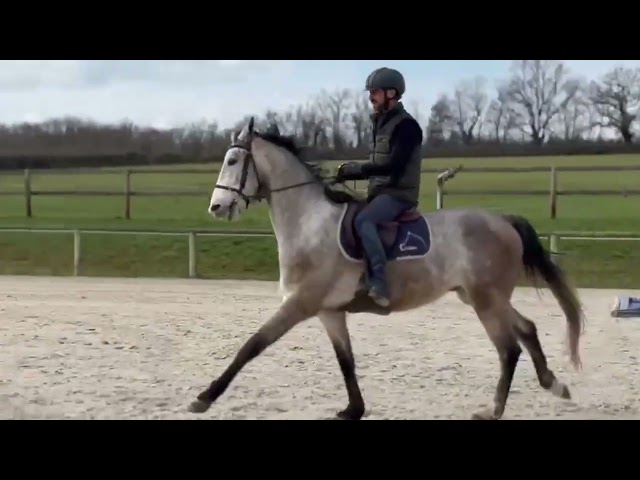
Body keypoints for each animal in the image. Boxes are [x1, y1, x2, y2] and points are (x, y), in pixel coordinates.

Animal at [188, 116, 585, 420]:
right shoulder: (330, 312)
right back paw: (554, 384)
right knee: (527, 329)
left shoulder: (300, 304)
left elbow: (252, 345)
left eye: (233, 161)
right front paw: (354, 409)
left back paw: (494, 410)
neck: (309, 223)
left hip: (486, 300)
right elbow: (346, 360)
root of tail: (502, 221)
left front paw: (204, 398)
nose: (217, 207)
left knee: (509, 349)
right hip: (482, 298)